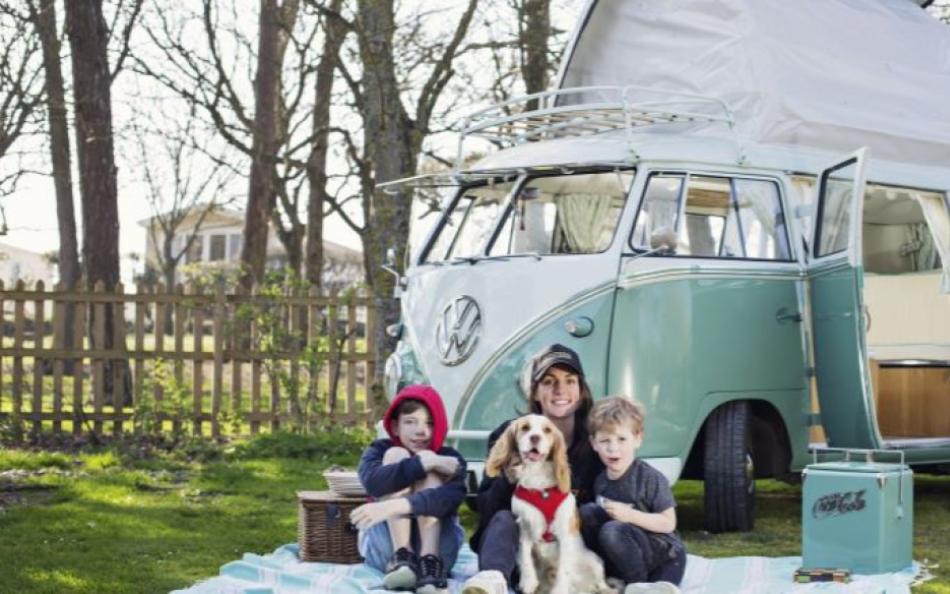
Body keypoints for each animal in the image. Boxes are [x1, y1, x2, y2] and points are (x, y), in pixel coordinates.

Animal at [484, 412, 616, 592]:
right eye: (525, 427)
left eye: (547, 430)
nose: (535, 438)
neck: (540, 487)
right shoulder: (524, 526)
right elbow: (525, 556)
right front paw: (528, 582)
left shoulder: (564, 533)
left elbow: (564, 569)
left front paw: (559, 590)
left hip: (594, 561)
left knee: (602, 585)